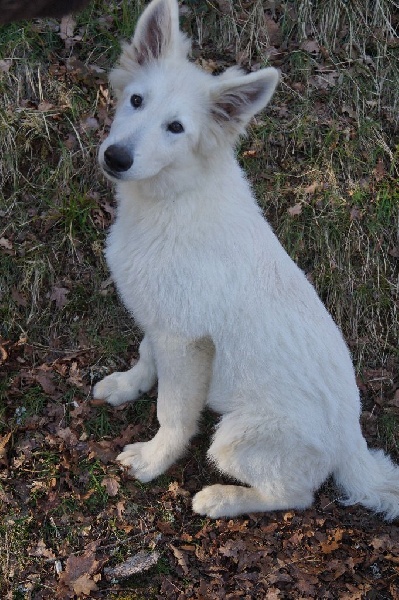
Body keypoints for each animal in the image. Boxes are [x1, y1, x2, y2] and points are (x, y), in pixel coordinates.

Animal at [94, 0, 399, 516]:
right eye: (135, 101)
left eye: (175, 128)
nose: (115, 158)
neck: (173, 199)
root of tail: (352, 444)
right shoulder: (162, 318)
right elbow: (145, 354)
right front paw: (126, 385)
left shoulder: (187, 339)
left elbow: (172, 412)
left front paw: (155, 460)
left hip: (235, 438)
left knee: (296, 494)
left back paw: (223, 499)